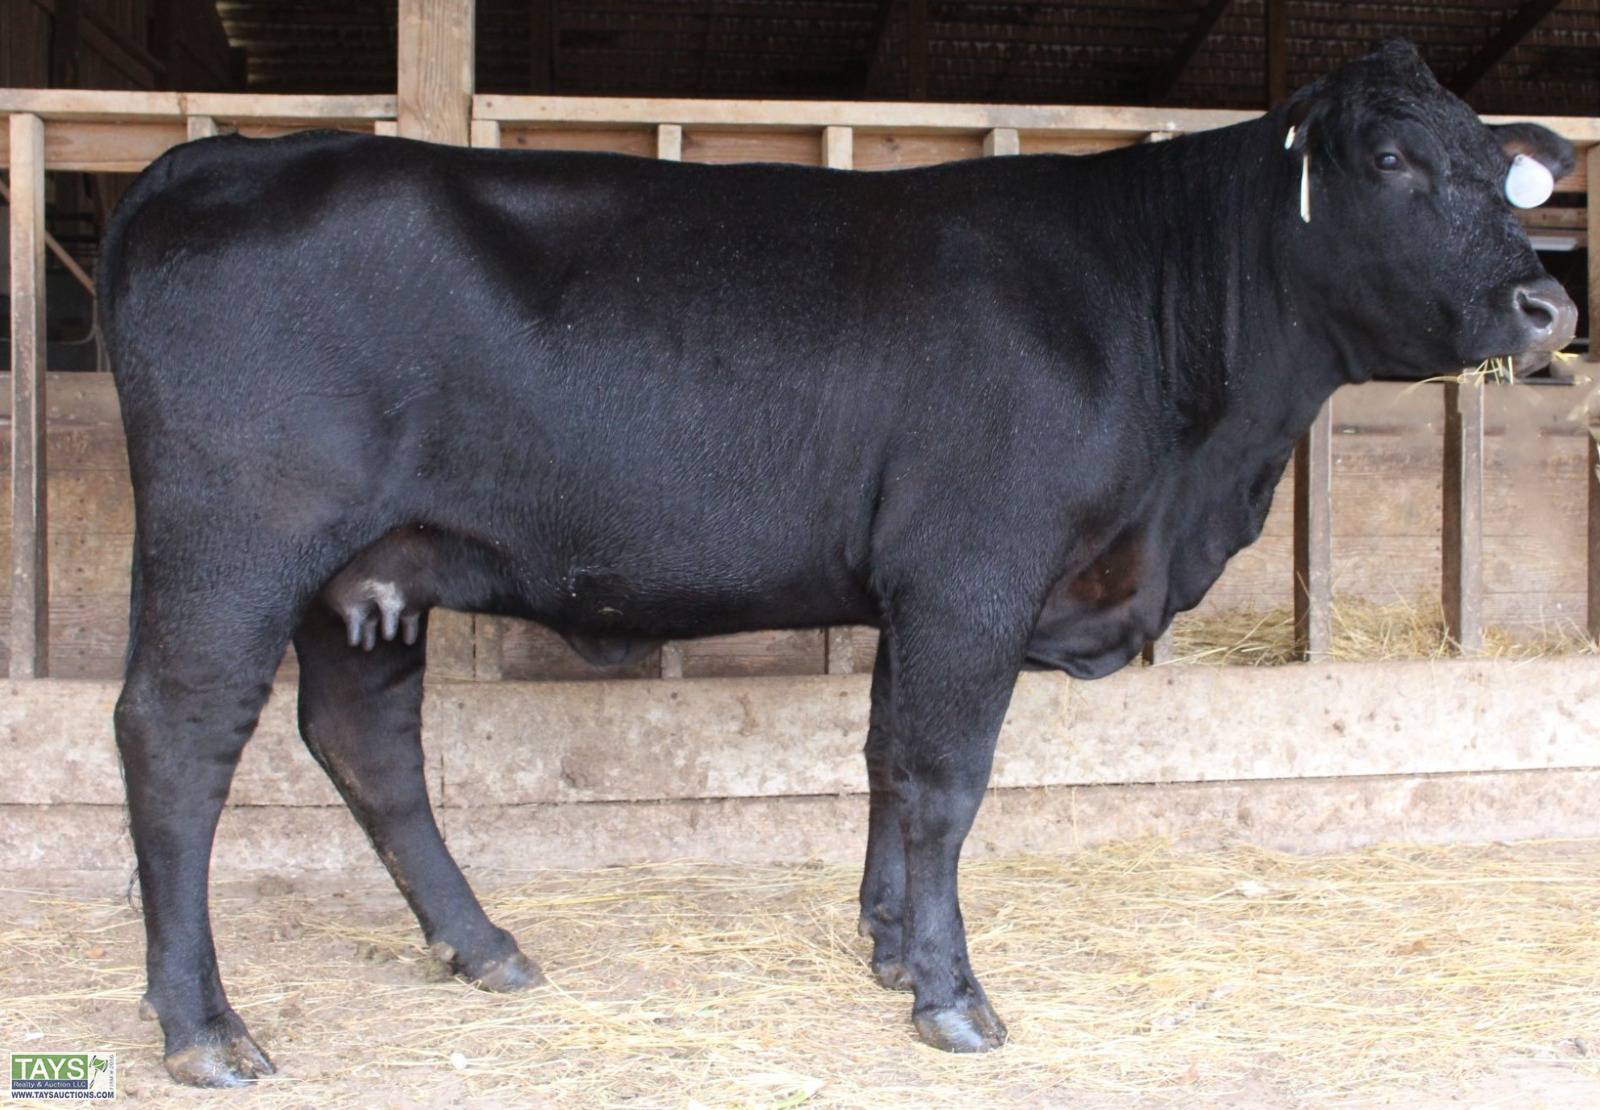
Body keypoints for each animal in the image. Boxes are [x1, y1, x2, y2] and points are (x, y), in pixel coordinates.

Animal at [99, 40, 1577, 1086]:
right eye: (1387, 159)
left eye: (1499, 167)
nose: (1548, 302)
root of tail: (220, 161)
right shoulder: (973, 570)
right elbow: (942, 780)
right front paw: (951, 995)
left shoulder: (911, 590)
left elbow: (878, 758)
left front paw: (884, 947)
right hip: (237, 541)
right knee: (177, 735)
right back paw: (205, 1028)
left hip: (371, 575)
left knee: (365, 742)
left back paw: (483, 946)